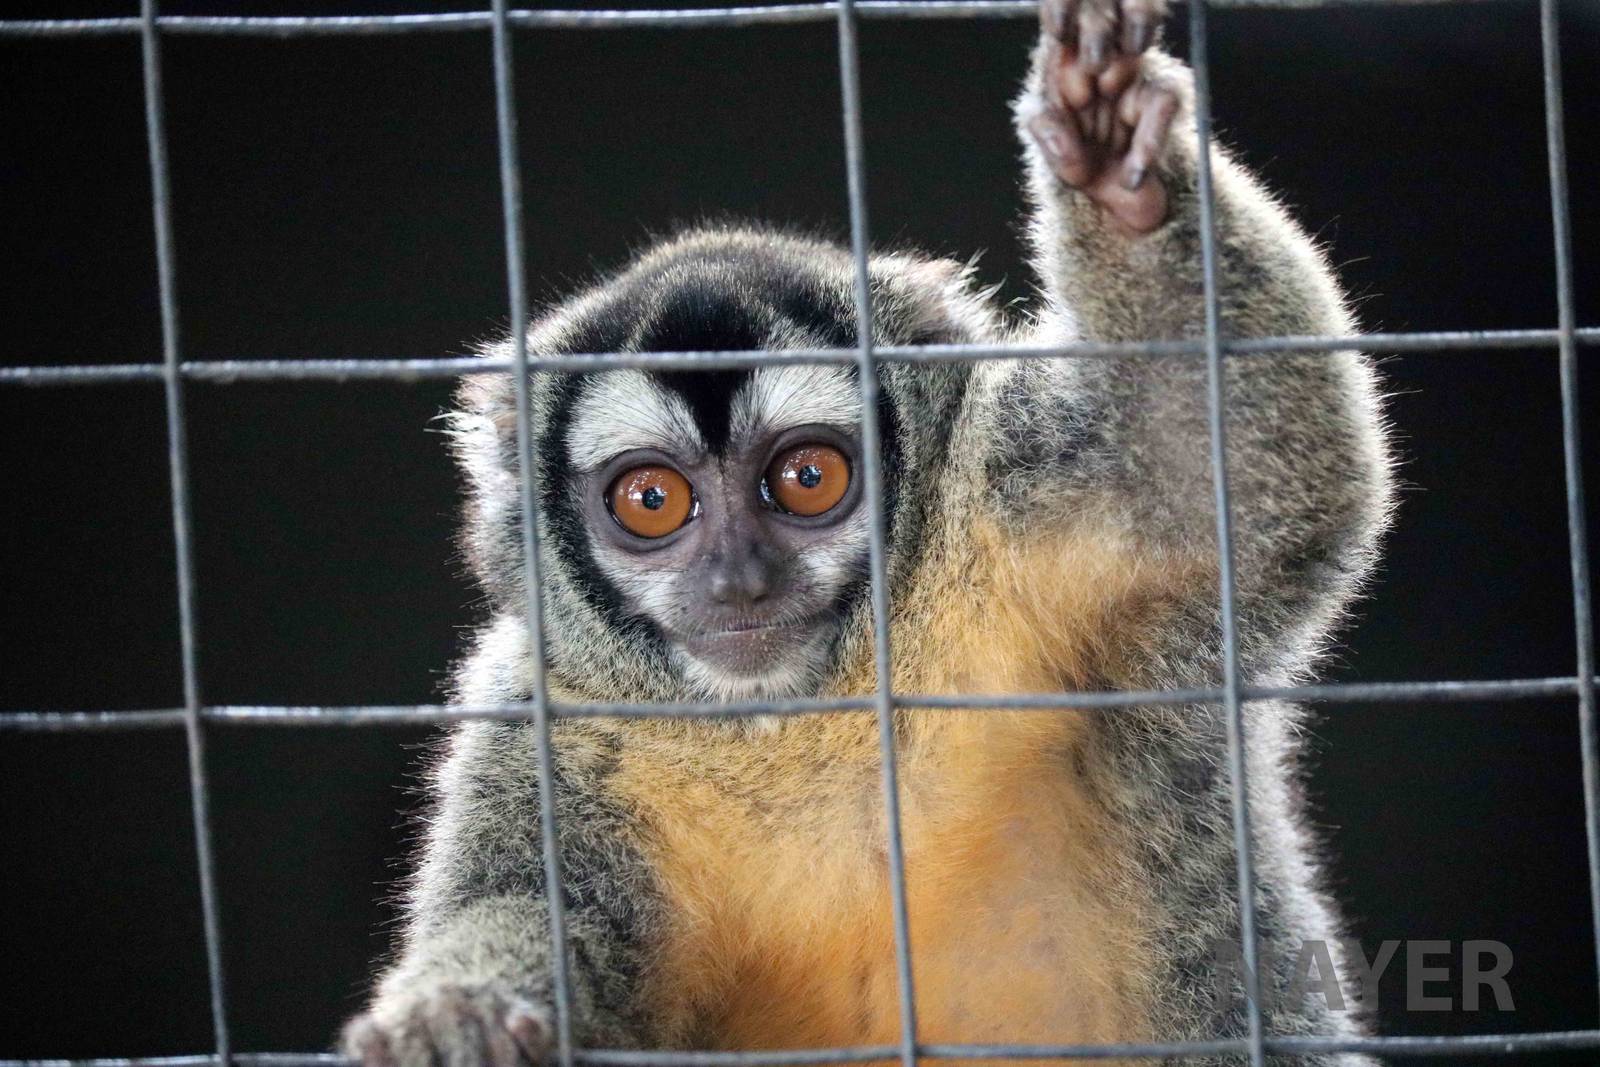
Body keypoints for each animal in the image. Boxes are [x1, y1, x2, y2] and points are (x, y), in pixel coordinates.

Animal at [341, 0, 1394, 1063]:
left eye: (808, 479)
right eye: (651, 500)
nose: (738, 582)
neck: (797, 710)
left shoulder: (1020, 518)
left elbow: (1220, 475)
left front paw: (1117, 159)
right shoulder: (544, 726)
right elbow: (532, 903)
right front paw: (457, 1012)